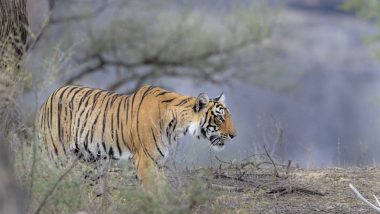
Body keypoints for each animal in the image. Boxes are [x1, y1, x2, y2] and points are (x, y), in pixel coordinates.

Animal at [36, 84, 238, 190]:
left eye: (229, 116)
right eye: (220, 118)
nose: (234, 135)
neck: (177, 126)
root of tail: (48, 97)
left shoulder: (159, 162)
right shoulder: (145, 160)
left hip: (89, 162)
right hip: (57, 156)